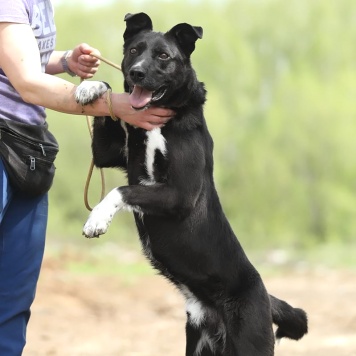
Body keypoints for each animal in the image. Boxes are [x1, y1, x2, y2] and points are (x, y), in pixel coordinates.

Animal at [74, 12, 306, 354]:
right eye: (133, 50)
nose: (136, 72)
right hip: (198, 340)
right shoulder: (109, 154)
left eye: (163, 56)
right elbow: (109, 111)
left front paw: (97, 219)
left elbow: (122, 190)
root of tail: (266, 297)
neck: (162, 116)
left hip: (250, 340)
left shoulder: (179, 195)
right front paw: (91, 86)